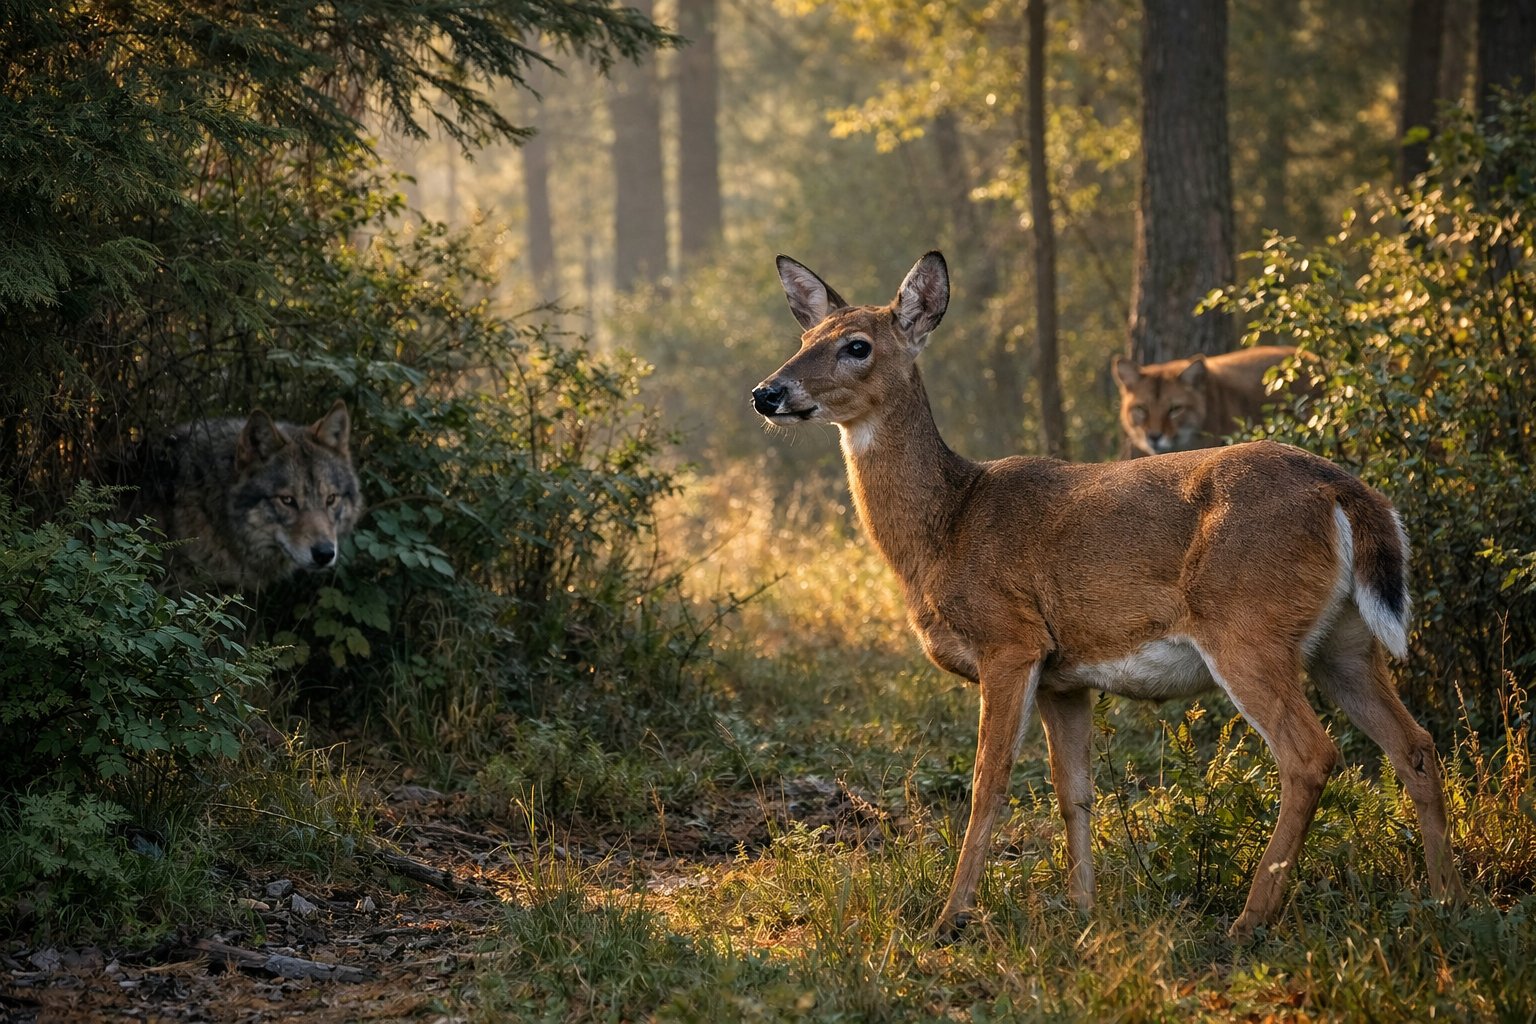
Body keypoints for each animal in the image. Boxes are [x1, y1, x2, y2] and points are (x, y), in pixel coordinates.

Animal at [750, 251, 1461, 940]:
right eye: (805, 337)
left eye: (858, 345)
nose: (766, 391)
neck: (946, 526)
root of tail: (1346, 490)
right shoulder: (1064, 676)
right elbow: (1074, 792)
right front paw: (1083, 910)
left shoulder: (1011, 640)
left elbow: (990, 782)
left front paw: (951, 918)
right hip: (1344, 641)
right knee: (1415, 746)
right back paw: (1445, 899)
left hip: (1246, 626)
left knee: (1311, 755)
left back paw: (1250, 919)